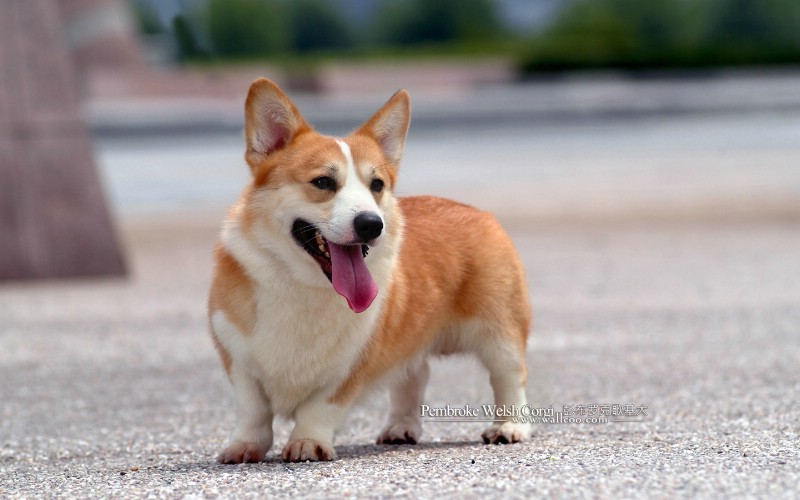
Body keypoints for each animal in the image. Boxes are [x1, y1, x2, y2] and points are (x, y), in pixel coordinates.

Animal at [208, 78, 532, 464]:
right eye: (322, 182)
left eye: (376, 185)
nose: (371, 224)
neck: (305, 286)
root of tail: (479, 211)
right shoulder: (238, 361)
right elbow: (253, 410)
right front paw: (244, 447)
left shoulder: (351, 366)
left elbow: (320, 408)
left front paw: (307, 443)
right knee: (414, 375)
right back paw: (400, 428)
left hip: (500, 332)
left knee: (509, 376)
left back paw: (509, 427)